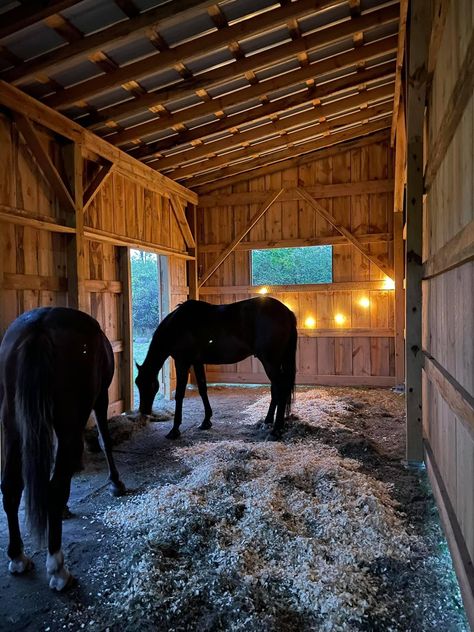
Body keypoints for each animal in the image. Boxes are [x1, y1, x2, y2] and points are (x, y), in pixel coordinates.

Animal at [0, 308, 126, 592]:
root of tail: (39, 326)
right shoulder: (100, 398)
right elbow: (104, 439)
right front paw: (116, 483)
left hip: (14, 424)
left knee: (12, 486)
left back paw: (18, 556)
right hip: (69, 420)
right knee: (54, 488)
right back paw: (58, 569)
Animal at [135, 296, 296, 440]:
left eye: (150, 386)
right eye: (137, 384)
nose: (144, 410)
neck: (177, 325)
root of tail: (285, 310)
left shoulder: (182, 362)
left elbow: (179, 394)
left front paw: (175, 430)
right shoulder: (197, 362)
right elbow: (202, 388)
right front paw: (206, 421)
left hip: (270, 362)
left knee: (280, 388)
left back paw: (276, 430)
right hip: (274, 363)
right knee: (276, 389)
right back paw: (268, 421)